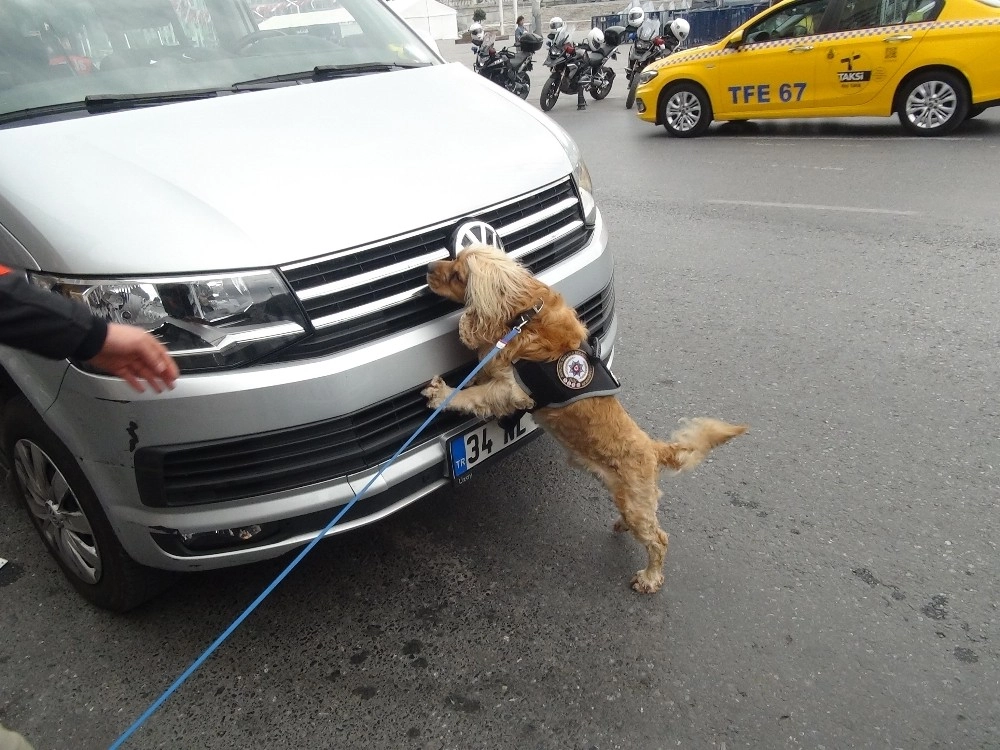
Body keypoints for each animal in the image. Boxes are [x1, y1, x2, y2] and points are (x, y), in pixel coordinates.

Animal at [420, 245, 744, 592]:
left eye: (458, 273)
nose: (427, 268)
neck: (523, 314)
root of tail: (654, 449)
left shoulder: (512, 389)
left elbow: (472, 395)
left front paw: (442, 393)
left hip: (637, 503)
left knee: (659, 539)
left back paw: (649, 577)